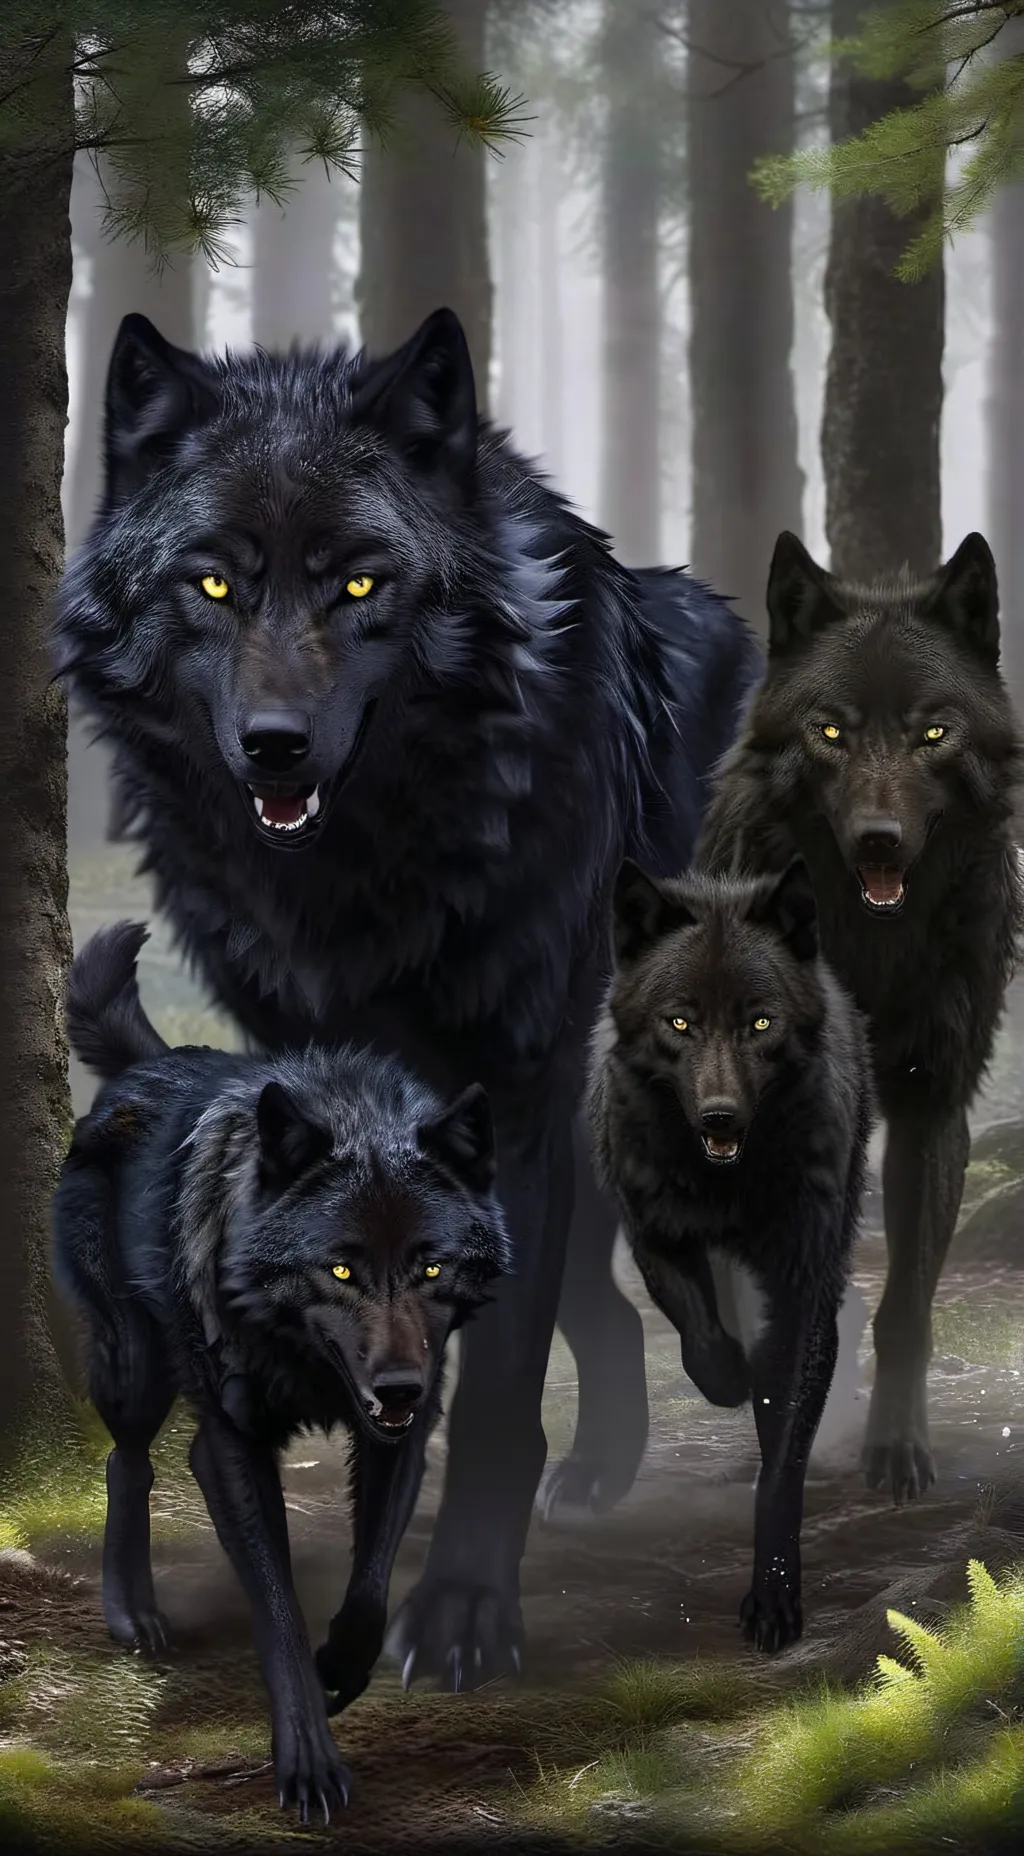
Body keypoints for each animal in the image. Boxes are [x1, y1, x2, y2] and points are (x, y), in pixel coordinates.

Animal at [53, 306, 763, 1685]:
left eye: (360, 582)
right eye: (211, 583)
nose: (274, 745)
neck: (366, 878)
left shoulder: (518, 1089)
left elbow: (492, 1385)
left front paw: (465, 1610)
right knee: (601, 1294)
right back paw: (607, 1459)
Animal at [53, 923, 509, 1820]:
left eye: (432, 1268)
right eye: (339, 1269)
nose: (398, 1389)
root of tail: (153, 1062)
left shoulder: (403, 1435)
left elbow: (370, 1585)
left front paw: (342, 1668)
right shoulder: (235, 1445)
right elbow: (278, 1609)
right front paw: (308, 1765)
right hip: (136, 1367)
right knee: (129, 1459)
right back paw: (132, 1614)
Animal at [587, 856, 873, 1650]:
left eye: (760, 1023)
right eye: (680, 1022)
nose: (719, 1117)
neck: (727, 1186)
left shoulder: (801, 1285)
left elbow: (781, 1463)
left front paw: (774, 1600)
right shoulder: (654, 1232)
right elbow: (700, 1339)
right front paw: (729, 1378)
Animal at [699, 531, 1024, 1506]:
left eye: (933, 732)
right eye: (831, 730)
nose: (880, 839)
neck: (870, 958)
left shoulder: (931, 1109)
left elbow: (906, 1309)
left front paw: (896, 1452)